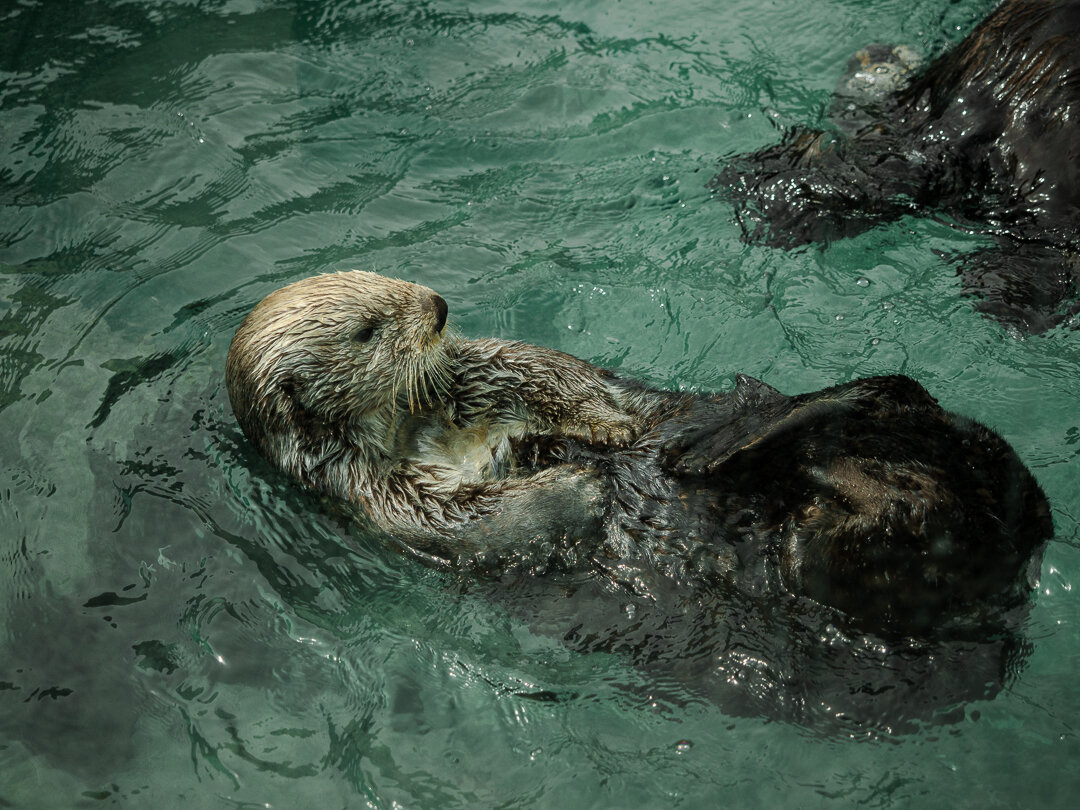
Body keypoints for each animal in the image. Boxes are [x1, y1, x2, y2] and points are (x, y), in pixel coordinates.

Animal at [226, 271, 1052, 643]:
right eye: (368, 330)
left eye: (389, 280)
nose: (436, 308)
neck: (420, 428)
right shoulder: (376, 499)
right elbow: (474, 520)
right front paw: (583, 484)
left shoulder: (479, 372)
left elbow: (543, 371)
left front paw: (613, 432)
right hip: (843, 563)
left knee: (905, 409)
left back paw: (736, 433)